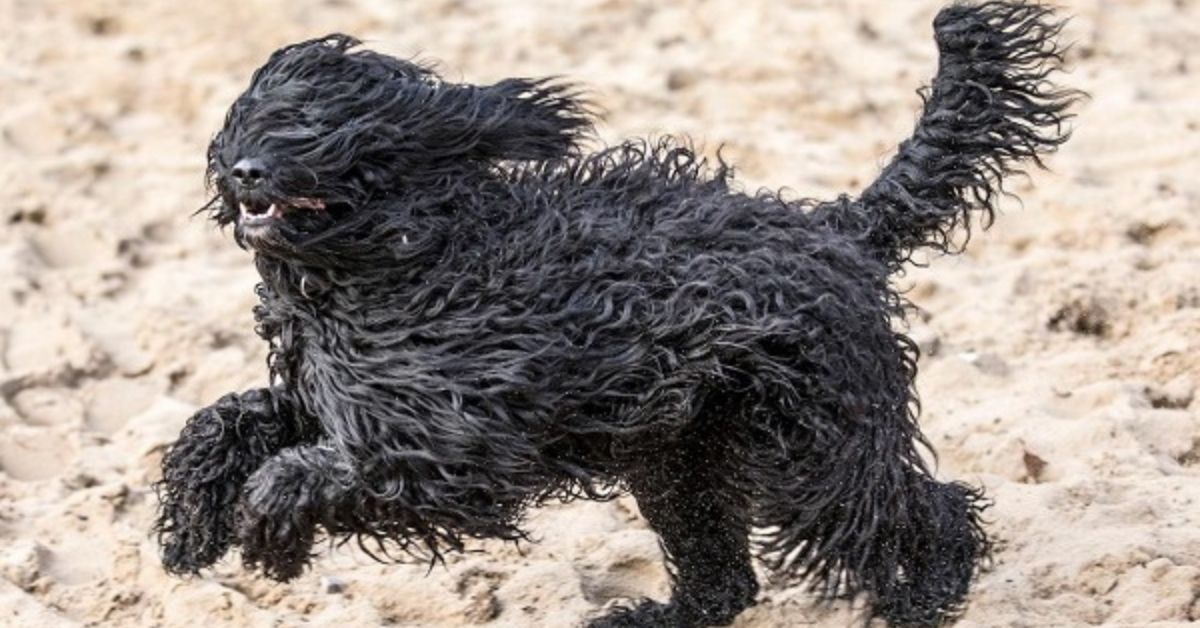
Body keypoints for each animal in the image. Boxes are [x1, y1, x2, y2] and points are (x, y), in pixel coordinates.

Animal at [152, 2, 1080, 624]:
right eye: (250, 116)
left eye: (317, 126)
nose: (243, 171)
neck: (401, 257)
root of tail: (838, 227)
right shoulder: (339, 399)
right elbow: (228, 418)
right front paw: (191, 524)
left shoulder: (450, 446)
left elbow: (308, 471)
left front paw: (268, 527)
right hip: (683, 459)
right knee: (724, 578)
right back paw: (663, 615)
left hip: (815, 446)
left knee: (927, 512)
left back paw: (926, 597)